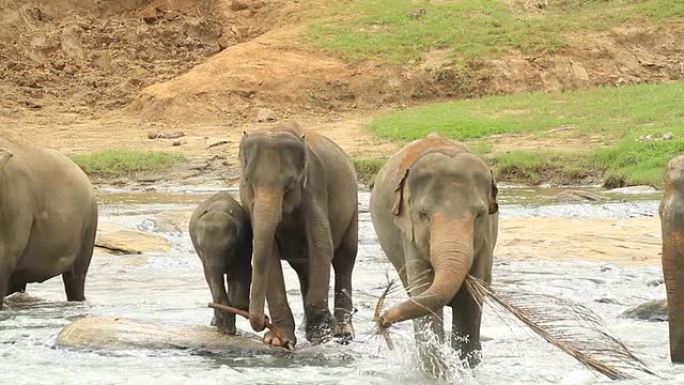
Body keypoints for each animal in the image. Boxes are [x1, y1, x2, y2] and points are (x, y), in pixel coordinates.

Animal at [188, 190, 252, 334]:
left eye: (230, 248)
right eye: (201, 249)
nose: (224, 328)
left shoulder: (243, 244)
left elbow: (241, 274)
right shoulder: (205, 259)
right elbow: (211, 278)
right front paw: (225, 327)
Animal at [239, 121, 358, 346]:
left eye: (291, 184)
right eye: (248, 181)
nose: (264, 321)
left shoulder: (314, 186)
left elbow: (321, 244)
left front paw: (321, 335)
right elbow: (269, 254)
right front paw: (278, 340)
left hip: (353, 209)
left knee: (345, 259)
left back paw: (343, 332)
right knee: (305, 269)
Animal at [372, 133, 500, 368]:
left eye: (480, 215)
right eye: (424, 214)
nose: (382, 318)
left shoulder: (486, 242)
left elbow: (469, 305)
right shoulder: (409, 237)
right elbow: (425, 299)